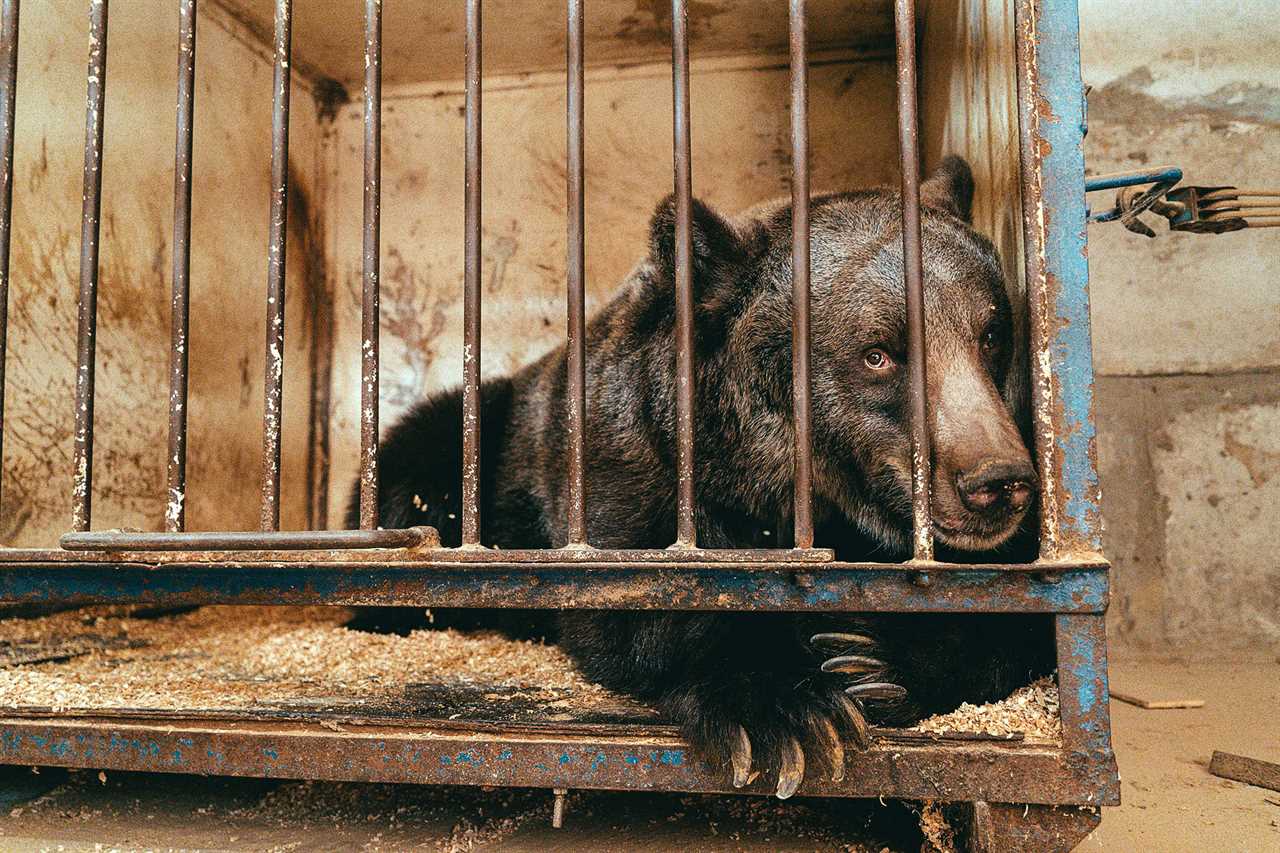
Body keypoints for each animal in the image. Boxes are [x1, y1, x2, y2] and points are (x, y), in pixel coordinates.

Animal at [350, 157, 1049, 799]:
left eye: (991, 332)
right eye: (878, 353)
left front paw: (873, 657)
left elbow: (1014, 605)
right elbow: (639, 595)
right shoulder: (628, 463)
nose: (997, 481)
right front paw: (786, 712)